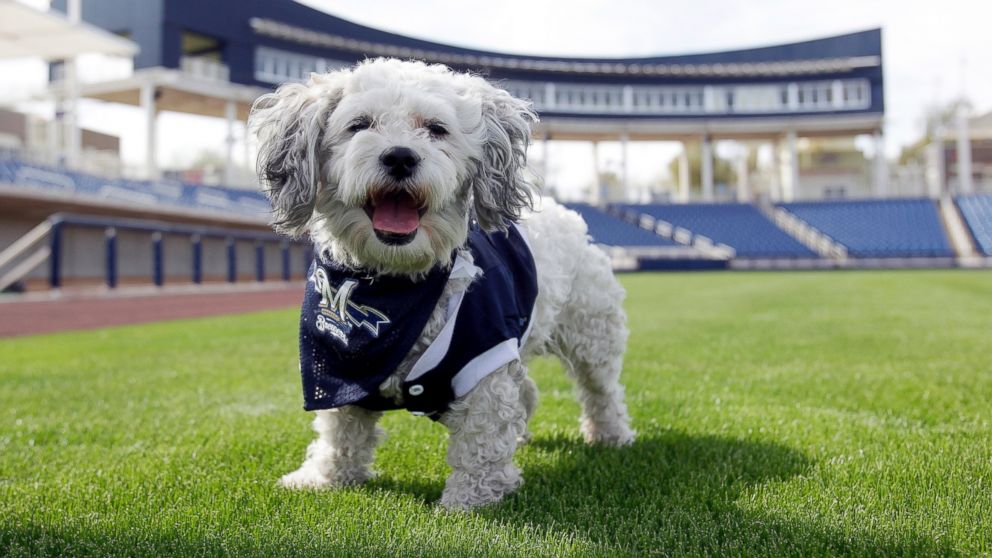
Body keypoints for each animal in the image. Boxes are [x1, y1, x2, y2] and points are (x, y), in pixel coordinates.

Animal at [250, 58, 636, 512]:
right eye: (359, 125)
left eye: (435, 129)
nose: (400, 156)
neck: (397, 284)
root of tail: (567, 215)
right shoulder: (335, 370)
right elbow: (339, 433)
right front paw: (324, 478)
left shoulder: (485, 361)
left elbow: (481, 441)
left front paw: (468, 502)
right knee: (528, 390)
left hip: (591, 334)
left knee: (601, 391)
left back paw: (611, 435)